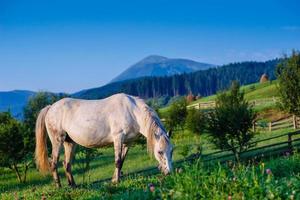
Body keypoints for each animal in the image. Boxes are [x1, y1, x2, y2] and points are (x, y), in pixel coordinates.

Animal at [34, 93, 173, 187]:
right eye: (160, 151)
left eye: (171, 151)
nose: (169, 172)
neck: (132, 111)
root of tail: (51, 107)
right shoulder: (118, 139)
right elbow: (117, 161)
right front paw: (116, 181)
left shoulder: (127, 143)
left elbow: (122, 161)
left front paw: (114, 179)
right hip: (57, 141)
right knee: (54, 163)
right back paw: (59, 186)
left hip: (70, 143)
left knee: (66, 164)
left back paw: (72, 185)